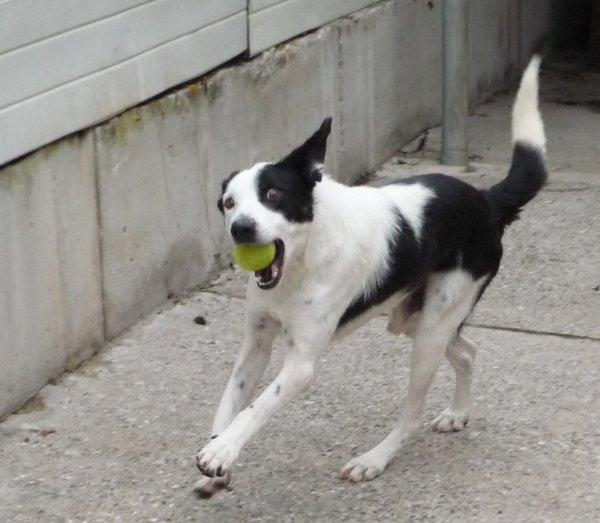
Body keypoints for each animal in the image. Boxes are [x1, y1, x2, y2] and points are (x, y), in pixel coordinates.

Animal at [195, 57, 548, 500]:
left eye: (274, 195)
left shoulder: (301, 363)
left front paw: (221, 452)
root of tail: (485, 200)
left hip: (432, 329)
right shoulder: (256, 345)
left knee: (413, 413)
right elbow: (229, 403)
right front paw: (217, 453)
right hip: (416, 319)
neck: (303, 259)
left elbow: (256, 407)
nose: (240, 228)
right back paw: (458, 413)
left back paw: (373, 460)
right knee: (468, 351)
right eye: (228, 203)